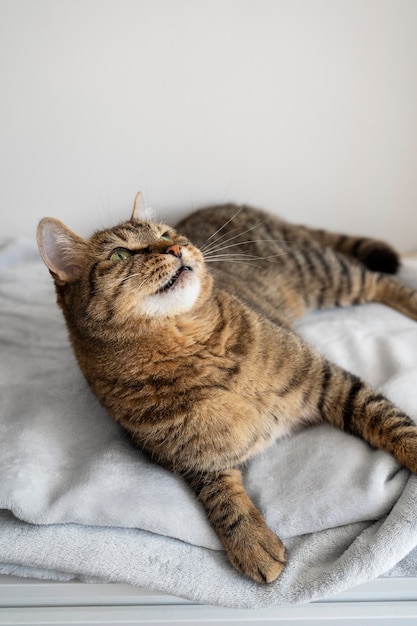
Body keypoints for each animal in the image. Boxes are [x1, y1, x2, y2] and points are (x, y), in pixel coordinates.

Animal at [36, 197, 416, 584]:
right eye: (120, 254)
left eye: (165, 235)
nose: (175, 248)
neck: (190, 348)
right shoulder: (194, 460)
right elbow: (223, 500)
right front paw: (251, 540)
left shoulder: (324, 378)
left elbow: (389, 421)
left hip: (322, 273)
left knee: (380, 281)